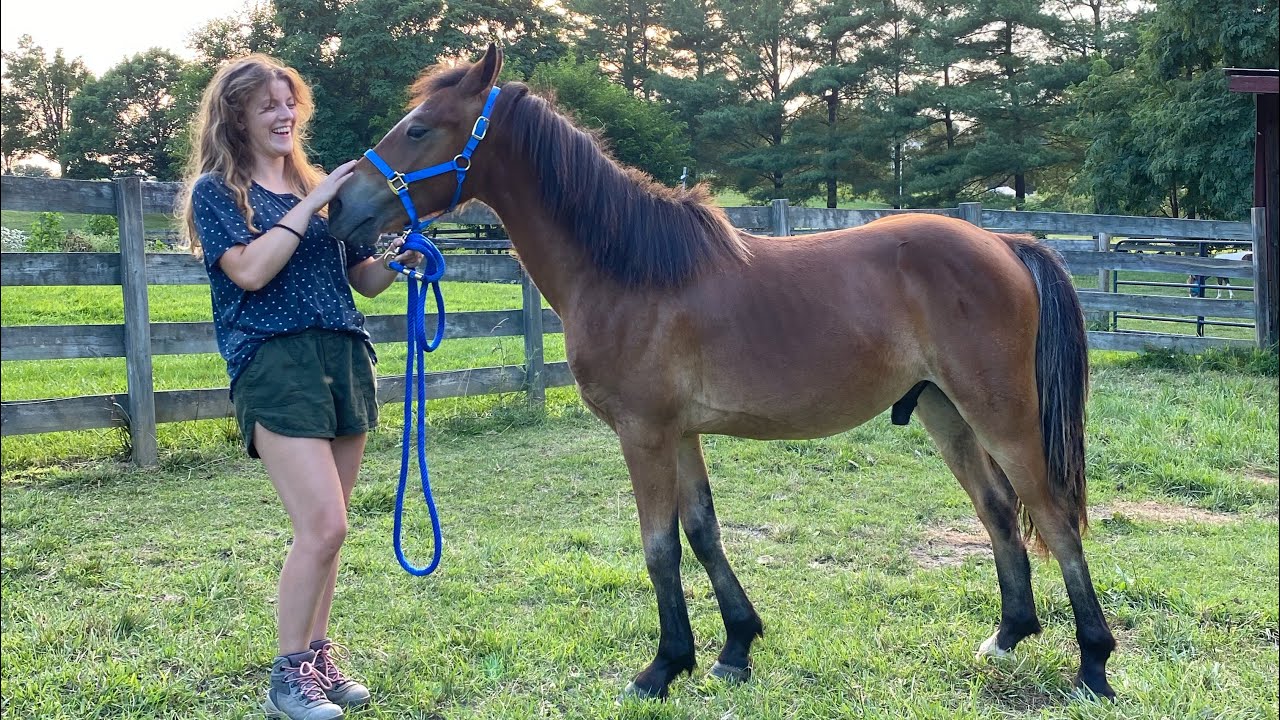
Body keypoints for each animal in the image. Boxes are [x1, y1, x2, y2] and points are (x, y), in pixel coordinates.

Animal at [329, 44, 1117, 701]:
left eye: (420, 130)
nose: (338, 206)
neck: (628, 270)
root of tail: (1006, 244)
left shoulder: (644, 433)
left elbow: (660, 547)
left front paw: (662, 666)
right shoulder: (680, 433)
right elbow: (704, 531)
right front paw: (735, 647)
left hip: (1001, 413)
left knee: (1052, 513)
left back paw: (1093, 665)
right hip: (943, 411)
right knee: (997, 509)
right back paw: (1008, 635)